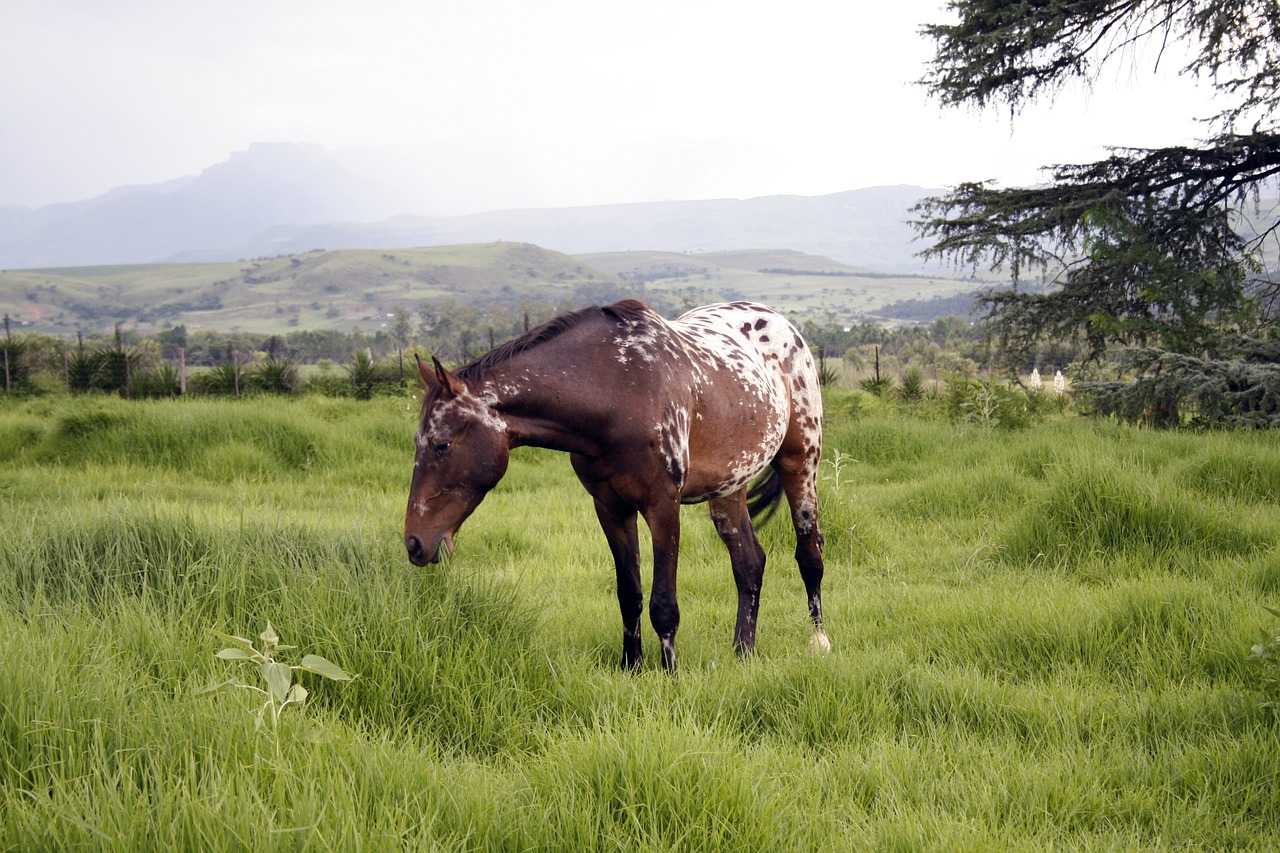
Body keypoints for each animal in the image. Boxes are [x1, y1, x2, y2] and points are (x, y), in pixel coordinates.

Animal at [404, 298, 834, 671]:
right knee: (749, 564)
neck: (619, 390)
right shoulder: (610, 507)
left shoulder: (663, 505)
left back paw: (819, 640)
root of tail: (781, 323)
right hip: (729, 488)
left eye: (442, 444)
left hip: (801, 463)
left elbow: (664, 603)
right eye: (418, 442)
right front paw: (632, 667)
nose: (414, 543)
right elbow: (630, 594)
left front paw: (670, 675)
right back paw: (742, 653)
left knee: (809, 555)